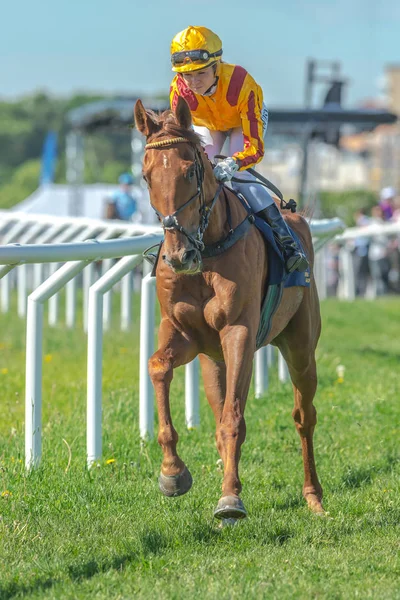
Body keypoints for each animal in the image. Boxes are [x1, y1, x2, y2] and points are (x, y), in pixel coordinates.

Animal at [136, 98, 324, 520]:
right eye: (145, 176)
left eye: (191, 170)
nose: (178, 256)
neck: (207, 251)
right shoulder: (184, 334)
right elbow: (157, 368)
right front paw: (173, 473)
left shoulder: (238, 331)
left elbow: (233, 419)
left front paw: (230, 499)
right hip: (212, 361)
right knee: (220, 404)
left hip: (301, 347)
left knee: (304, 417)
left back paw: (313, 496)